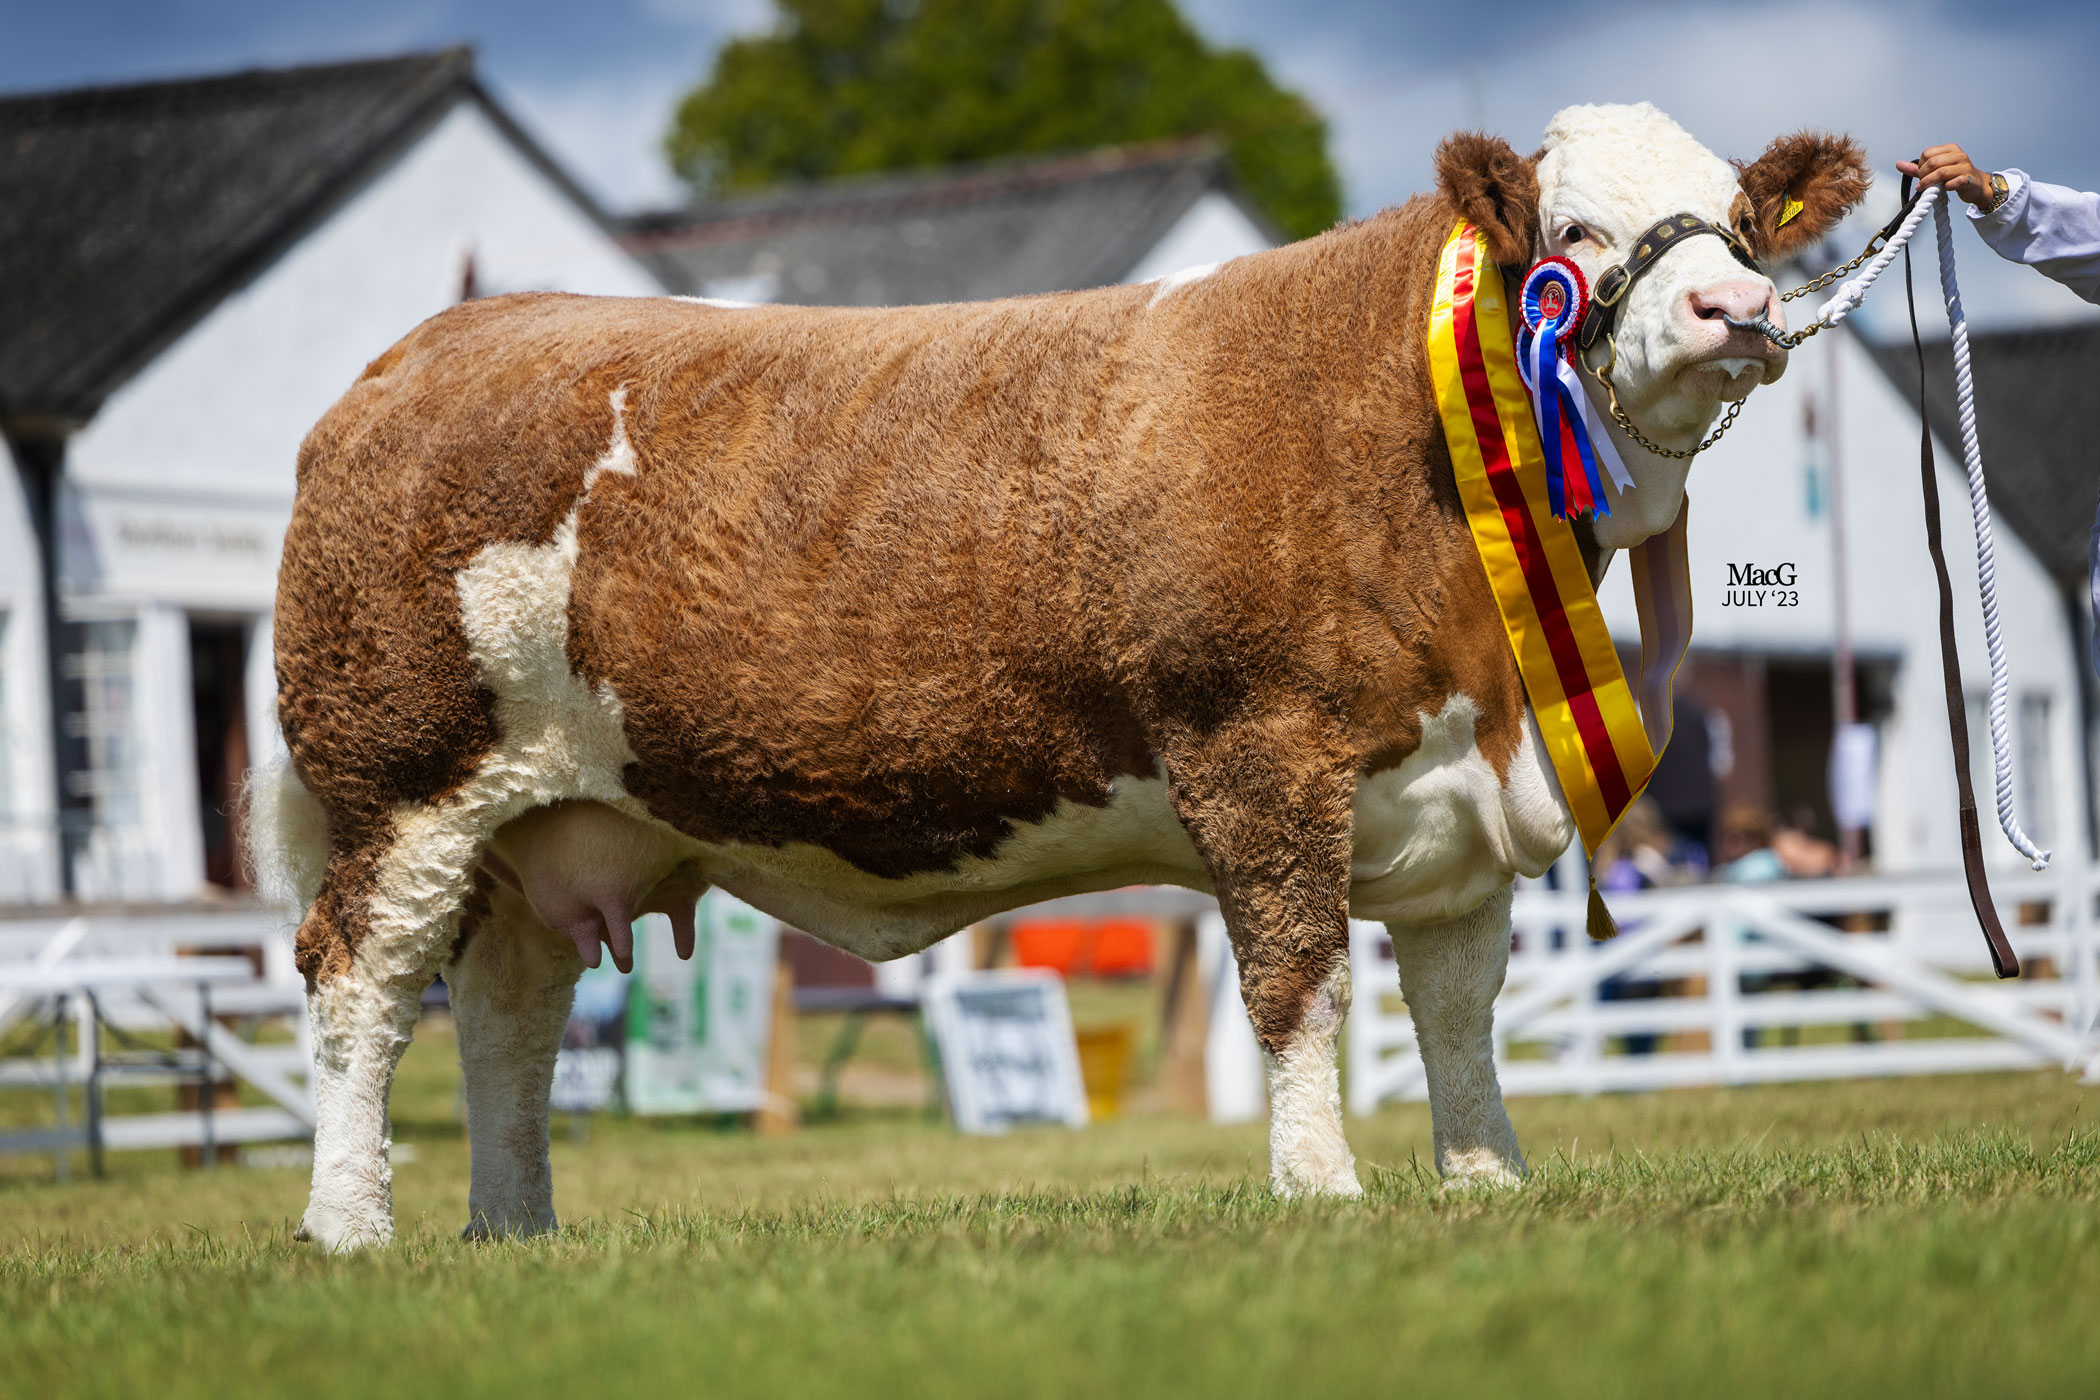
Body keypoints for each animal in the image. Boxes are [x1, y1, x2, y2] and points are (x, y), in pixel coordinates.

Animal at [254, 107, 1864, 1250]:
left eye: (1740, 218)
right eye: (1577, 230)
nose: (1735, 311)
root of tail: (423, 353)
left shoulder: (1464, 786)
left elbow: (1458, 1008)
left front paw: (1486, 1181)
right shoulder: (1258, 752)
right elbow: (1303, 985)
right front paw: (1322, 1189)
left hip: (543, 823)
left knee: (506, 1013)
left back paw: (510, 1227)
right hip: (403, 786)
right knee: (360, 986)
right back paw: (349, 1224)